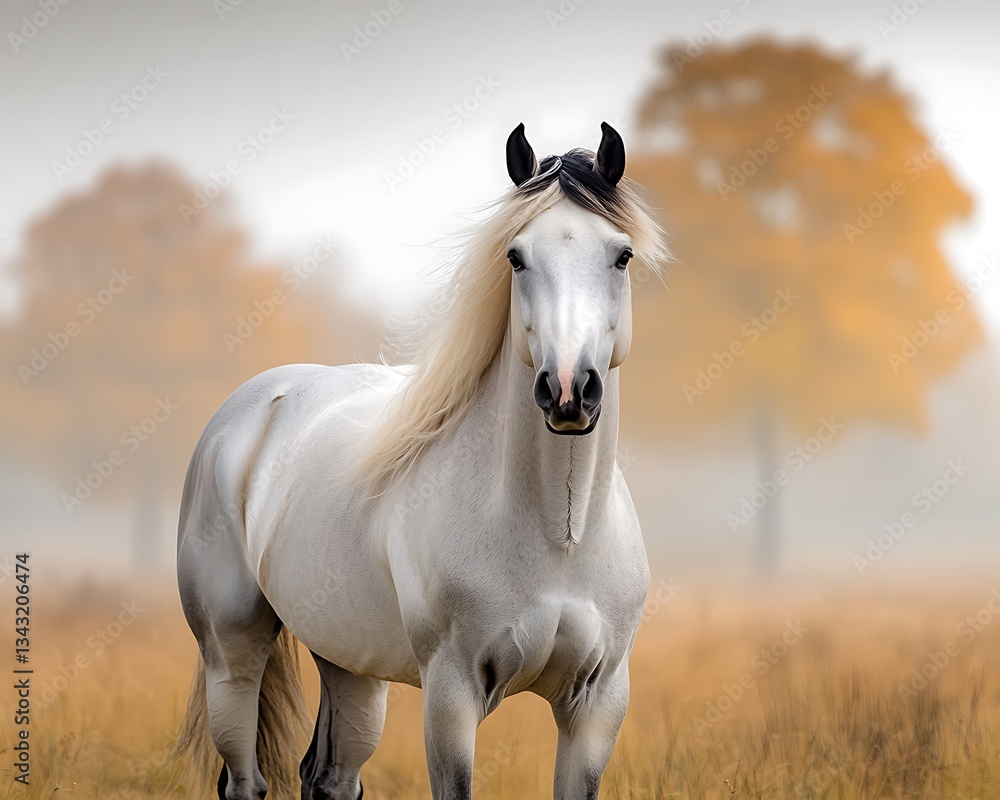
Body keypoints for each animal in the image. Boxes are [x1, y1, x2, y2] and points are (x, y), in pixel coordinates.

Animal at [175, 121, 669, 800]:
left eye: (621, 255)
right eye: (516, 257)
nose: (569, 390)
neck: (558, 536)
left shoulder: (598, 704)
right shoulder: (451, 694)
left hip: (349, 661)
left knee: (329, 778)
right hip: (232, 652)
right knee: (246, 780)